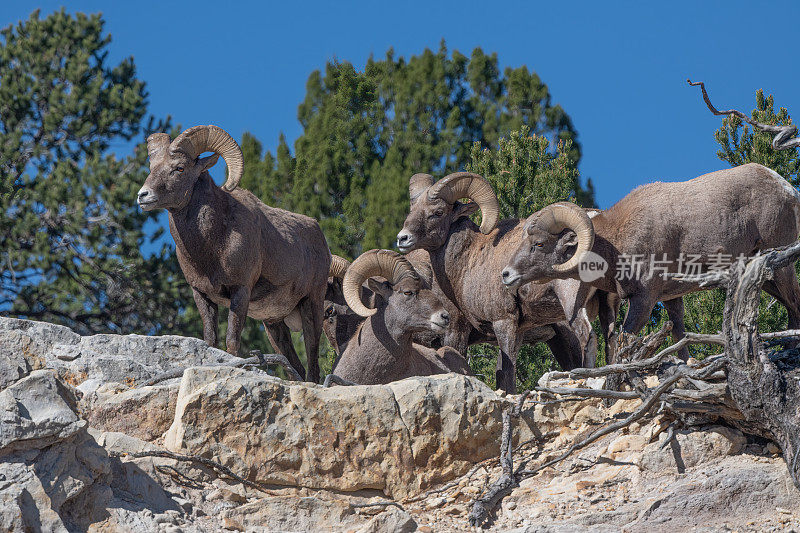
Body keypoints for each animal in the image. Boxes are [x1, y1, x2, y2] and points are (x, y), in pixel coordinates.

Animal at [136, 125, 330, 382]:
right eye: (152, 168)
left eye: (179, 168)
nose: (143, 195)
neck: (211, 249)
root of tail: (318, 233)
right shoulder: (202, 295)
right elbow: (210, 341)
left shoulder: (240, 291)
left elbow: (231, 342)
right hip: (274, 325)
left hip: (312, 306)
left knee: (313, 362)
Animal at [396, 171, 596, 390]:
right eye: (412, 210)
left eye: (438, 212)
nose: (402, 238)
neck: (470, 259)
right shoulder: (517, 329)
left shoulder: (489, 324)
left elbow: (504, 374)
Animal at [504, 162, 800, 358]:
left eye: (538, 244)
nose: (506, 275)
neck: (618, 243)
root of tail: (787, 189)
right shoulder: (671, 297)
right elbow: (679, 337)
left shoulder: (644, 299)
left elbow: (626, 340)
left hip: (780, 268)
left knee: (795, 308)